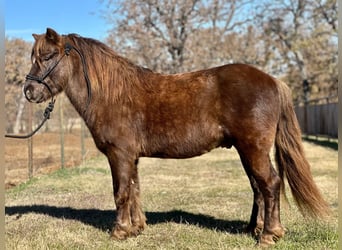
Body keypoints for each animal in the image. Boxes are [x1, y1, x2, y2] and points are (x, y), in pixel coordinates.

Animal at [23, 27, 328, 246]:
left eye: (47, 57)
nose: (29, 91)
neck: (112, 93)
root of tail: (273, 80)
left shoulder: (119, 154)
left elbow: (121, 192)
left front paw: (119, 231)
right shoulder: (131, 157)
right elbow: (134, 189)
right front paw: (136, 227)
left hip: (253, 149)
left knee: (270, 184)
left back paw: (269, 234)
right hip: (247, 151)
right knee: (258, 188)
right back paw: (254, 229)